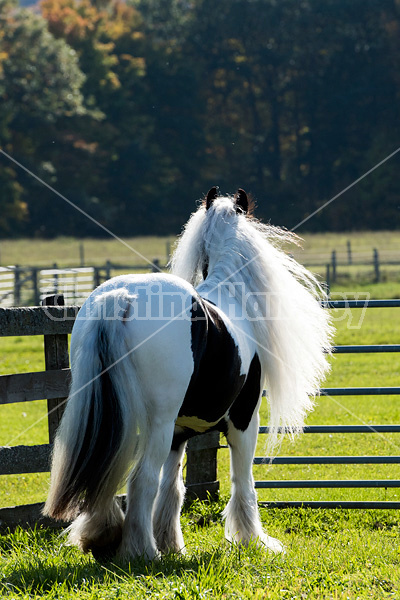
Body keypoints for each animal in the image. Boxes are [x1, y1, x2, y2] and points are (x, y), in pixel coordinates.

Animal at [43, 189, 332, 564]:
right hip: (159, 422)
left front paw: (171, 542)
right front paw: (251, 539)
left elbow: (172, 486)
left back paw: (105, 538)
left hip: (114, 415)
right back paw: (141, 552)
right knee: (140, 480)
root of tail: (122, 297)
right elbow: (242, 479)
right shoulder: (244, 421)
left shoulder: (179, 434)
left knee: (108, 471)